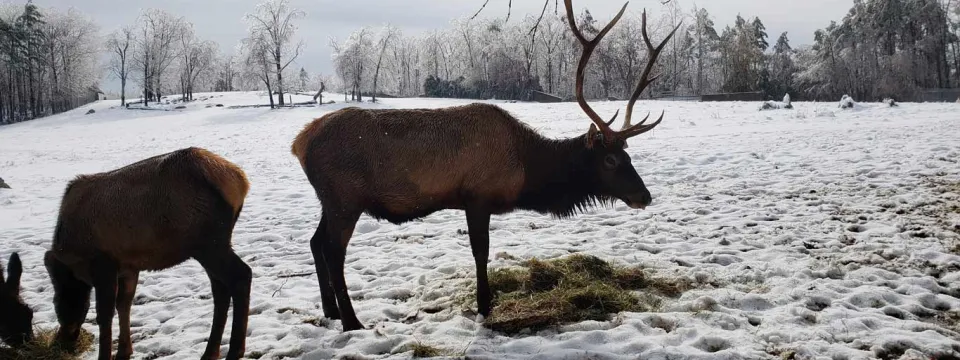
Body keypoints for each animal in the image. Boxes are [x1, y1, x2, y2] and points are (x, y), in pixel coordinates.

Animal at [0, 147, 251, 360]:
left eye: (55, 304)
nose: (63, 343)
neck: (73, 258)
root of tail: (240, 181)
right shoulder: (129, 266)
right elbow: (124, 305)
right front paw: (124, 351)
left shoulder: (103, 264)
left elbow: (104, 314)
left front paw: (106, 355)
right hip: (209, 246)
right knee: (220, 289)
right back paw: (210, 352)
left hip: (209, 243)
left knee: (241, 275)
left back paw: (234, 351)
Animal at [288, 0, 680, 332]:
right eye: (610, 159)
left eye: (629, 155)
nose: (644, 196)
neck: (525, 170)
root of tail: (299, 143)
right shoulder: (477, 197)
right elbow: (481, 252)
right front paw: (484, 306)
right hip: (345, 198)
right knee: (333, 251)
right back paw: (352, 321)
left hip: (330, 199)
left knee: (315, 241)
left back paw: (330, 311)